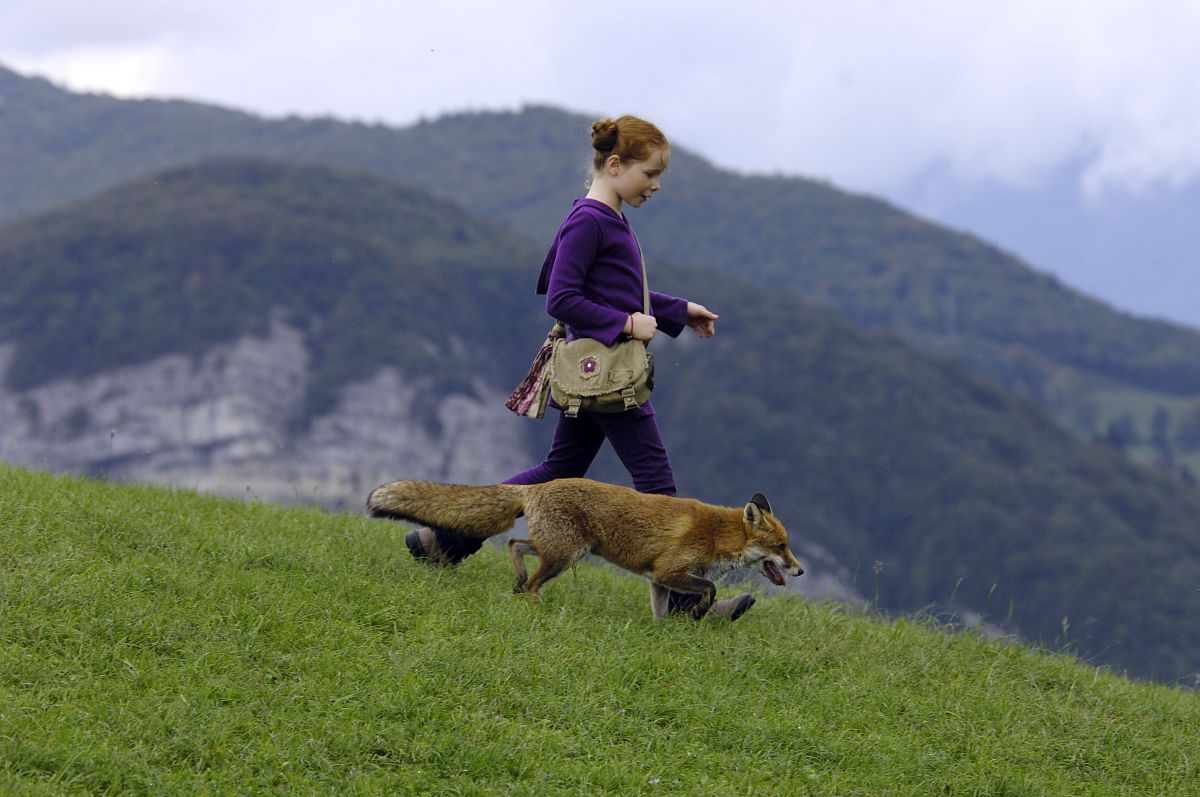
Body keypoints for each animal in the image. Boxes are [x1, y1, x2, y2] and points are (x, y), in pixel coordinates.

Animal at [366, 477, 804, 619]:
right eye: (781, 546)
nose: (800, 570)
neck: (718, 535)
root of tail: (536, 486)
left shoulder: (658, 581)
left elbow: (661, 615)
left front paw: (667, 633)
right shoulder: (669, 571)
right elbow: (709, 588)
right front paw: (699, 612)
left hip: (561, 550)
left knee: (515, 544)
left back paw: (517, 582)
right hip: (564, 556)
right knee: (532, 580)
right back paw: (533, 603)